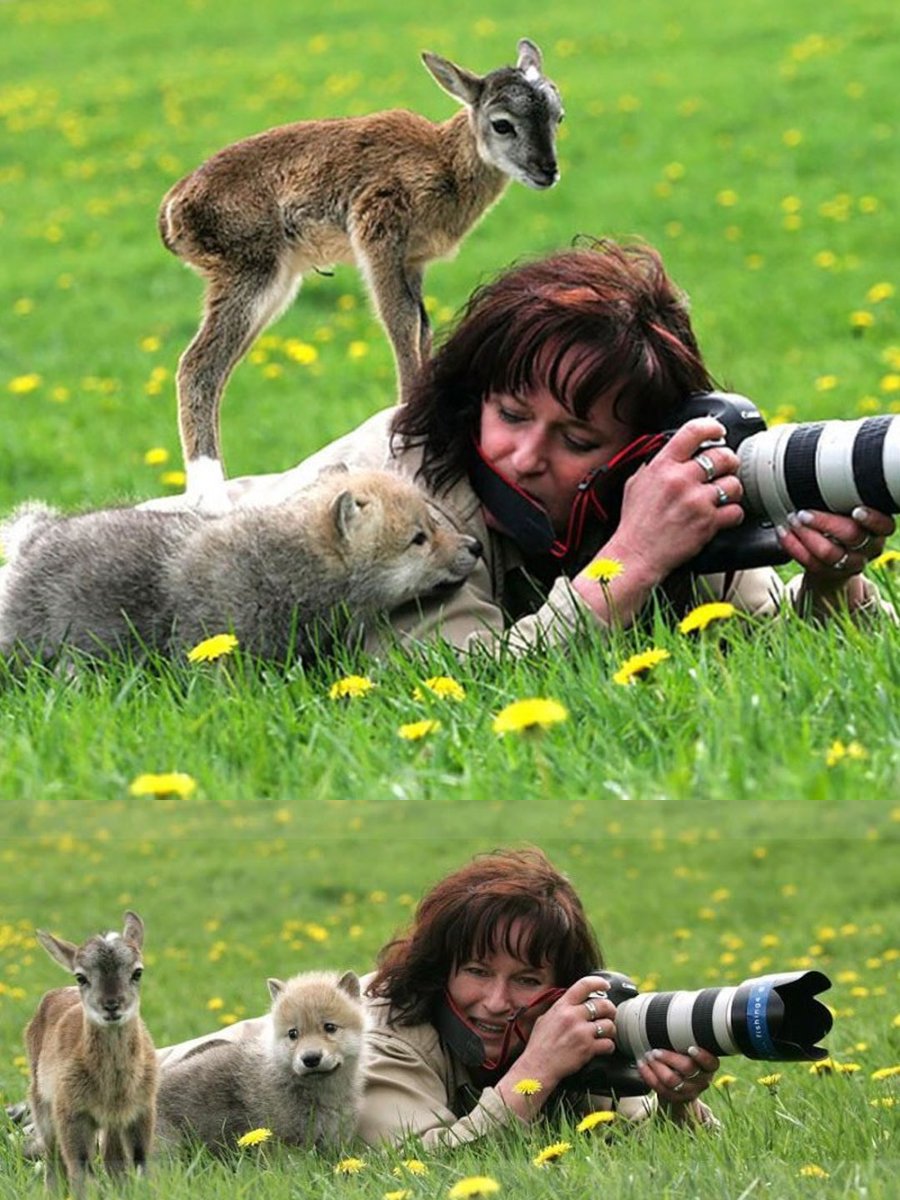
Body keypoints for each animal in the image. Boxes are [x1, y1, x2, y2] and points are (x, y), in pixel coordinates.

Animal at [24, 912, 157, 1195]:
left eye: (137, 972)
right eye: (81, 977)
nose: (111, 1005)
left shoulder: (141, 1110)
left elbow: (140, 1164)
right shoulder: (71, 1113)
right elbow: (81, 1171)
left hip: (110, 1124)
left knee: (111, 1160)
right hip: (41, 1103)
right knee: (53, 1160)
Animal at [158, 39, 561, 508]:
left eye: (558, 116)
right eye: (502, 124)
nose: (547, 170)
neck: (444, 163)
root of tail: (173, 209)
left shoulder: (413, 261)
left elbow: (421, 326)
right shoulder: (378, 233)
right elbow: (400, 321)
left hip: (273, 283)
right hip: (250, 270)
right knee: (197, 364)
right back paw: (210, 495)